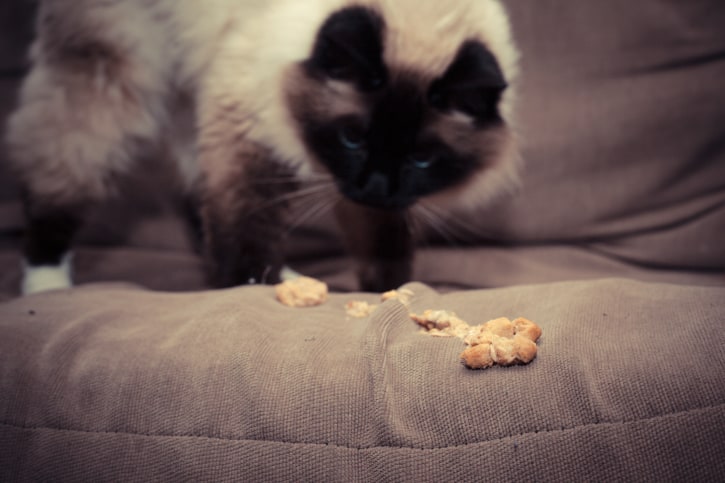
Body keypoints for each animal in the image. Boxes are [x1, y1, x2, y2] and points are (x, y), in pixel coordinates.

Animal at [4, 0, 516, 294]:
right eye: (352, 137)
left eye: (421, 158)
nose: (373, 185)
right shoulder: (246, 121)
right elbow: (244, 220)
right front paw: (250, 284)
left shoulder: (367, 194)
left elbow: (383, 240)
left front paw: (390, 290)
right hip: (113, 75)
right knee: (59, 171)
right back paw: (46, 285)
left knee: (197, 192)